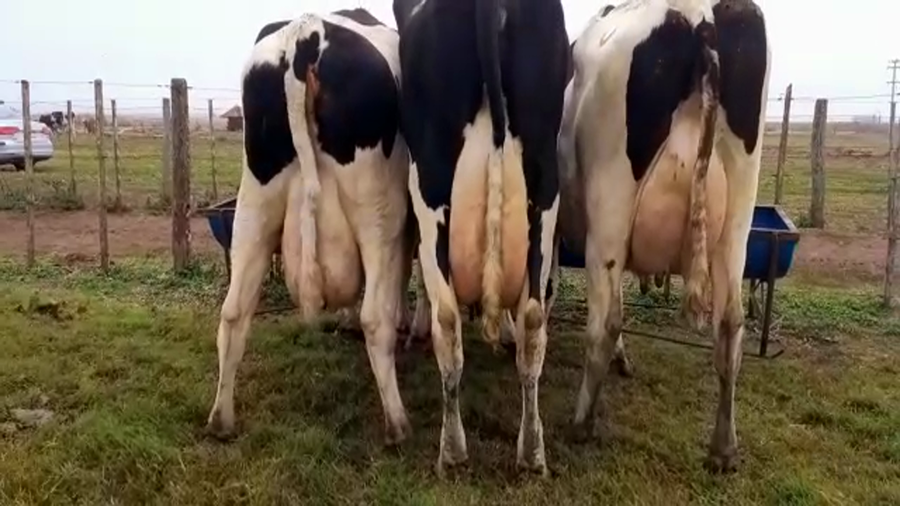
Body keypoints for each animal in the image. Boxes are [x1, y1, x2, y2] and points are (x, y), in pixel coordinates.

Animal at [206, 8, 420, 447]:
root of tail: (306, 33)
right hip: (378, 211)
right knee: (376, 318)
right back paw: (397, 423)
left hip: (255, 203)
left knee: (234, 312)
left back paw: (221, 419)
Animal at [393, 0, 570, 475]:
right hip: (544, 183)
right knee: (533, 320)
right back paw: (532, 452)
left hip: (430, 183)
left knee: (448, 319)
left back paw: (452, 450)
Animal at [554, 0, 770, 472]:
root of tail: (698, 14)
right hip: (737, 218)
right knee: (730, 324)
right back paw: (723, 448)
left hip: (611, 207)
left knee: (606, 319)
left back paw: (581, 423)